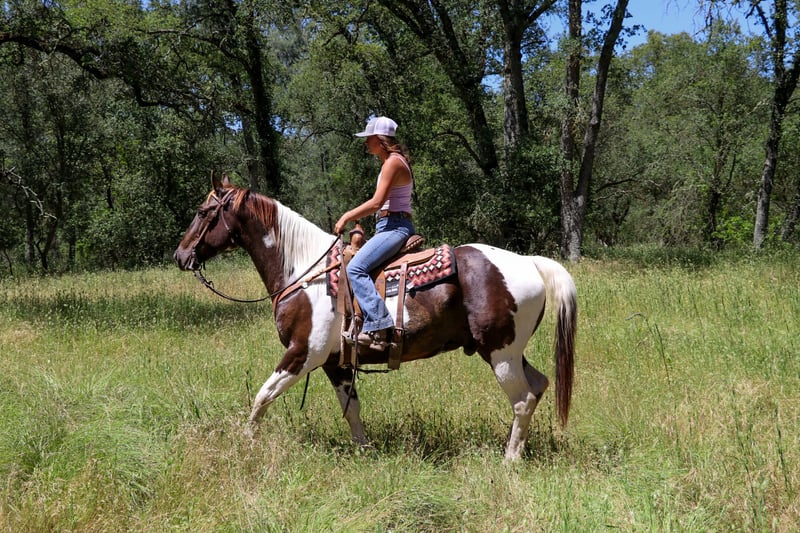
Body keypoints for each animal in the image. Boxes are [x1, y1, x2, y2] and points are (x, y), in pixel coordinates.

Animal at [174, 175, 577, 461]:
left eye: (203, 212)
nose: (180, 255)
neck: (303, 271)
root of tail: (530, 263)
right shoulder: (334, 363)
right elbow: (351, 409)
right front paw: (365, 452)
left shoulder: (302, 353)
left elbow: (262, 397)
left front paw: (245, 444)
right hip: (507, 351)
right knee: (538, 386)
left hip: (500, 352)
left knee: (522, 399)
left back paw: (509, 459)